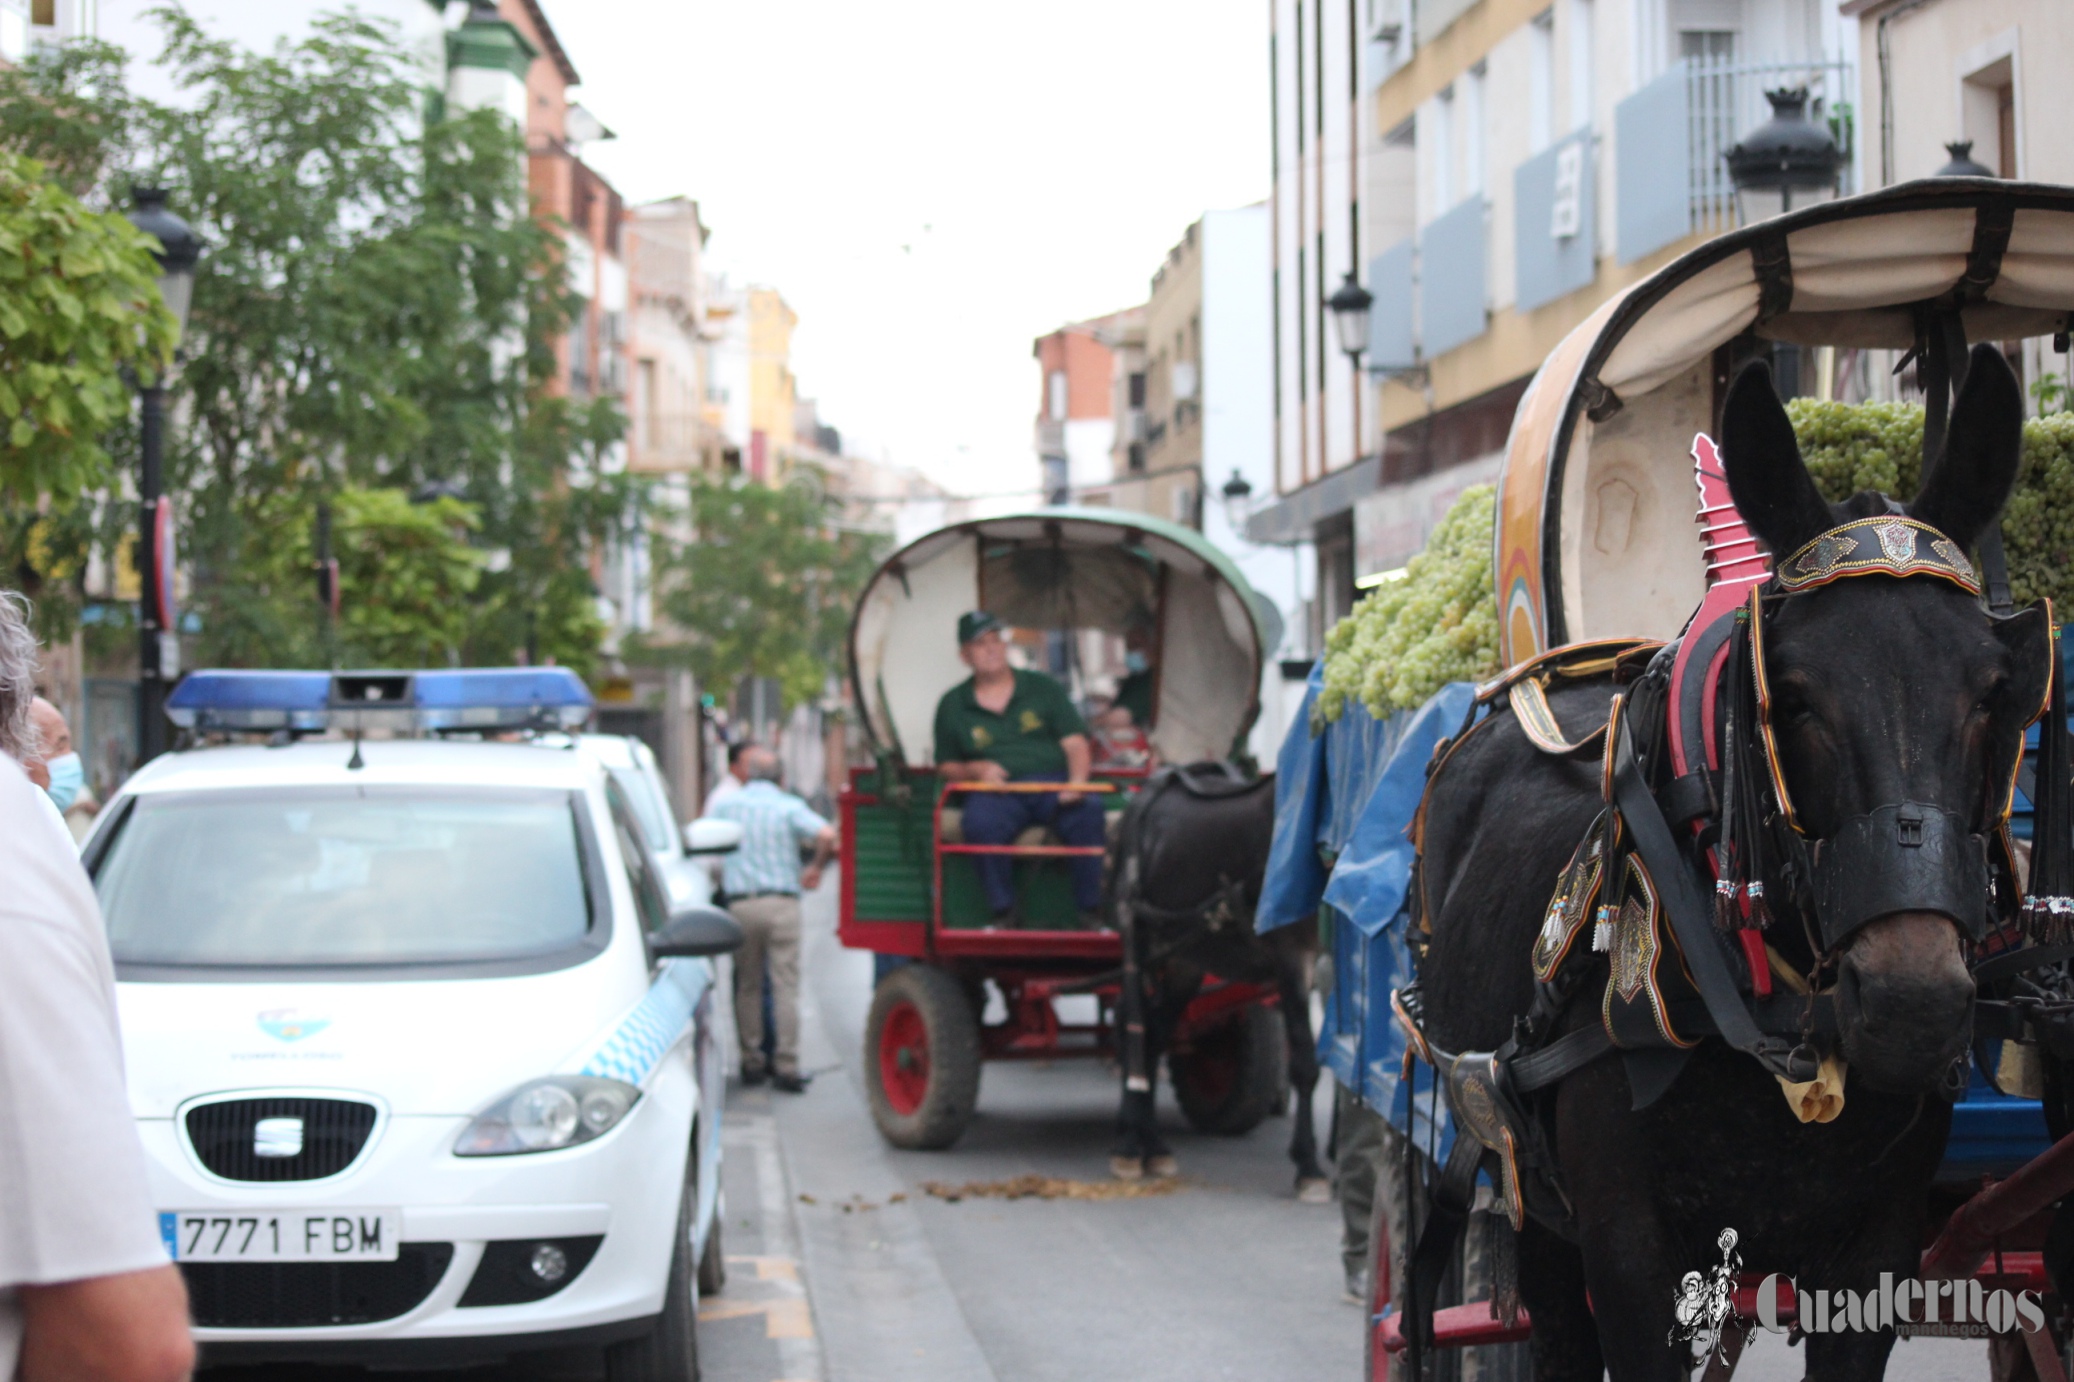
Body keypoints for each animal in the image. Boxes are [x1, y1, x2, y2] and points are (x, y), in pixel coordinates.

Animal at [1103, 763, 1327, 1195]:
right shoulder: (1291, 955)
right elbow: (1305, 1061)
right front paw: (1310, 1167)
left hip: (1183, 959)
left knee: (1152, 1033)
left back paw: (1152, 1145)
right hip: (1137, 935)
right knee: (1132, 1027)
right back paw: (1126, 1146)